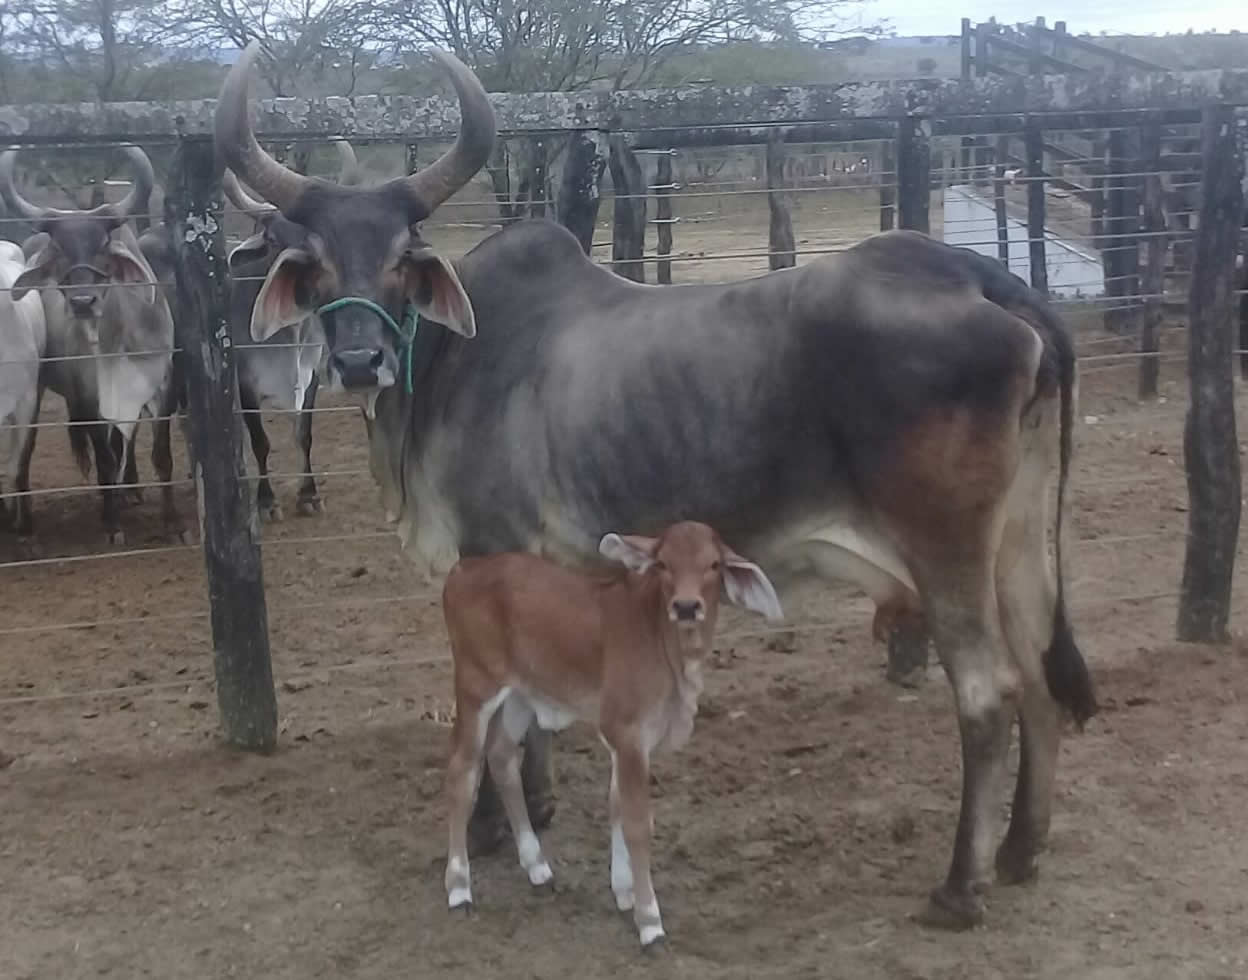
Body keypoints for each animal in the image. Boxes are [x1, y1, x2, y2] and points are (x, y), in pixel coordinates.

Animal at [0, 145, 183, 541]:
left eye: (102, 245)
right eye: (59, 249)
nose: (83, 302)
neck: (119, 335)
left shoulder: (162, 388)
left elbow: (161, 454)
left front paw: (172, 523)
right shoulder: (87, 397)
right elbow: (105, 458)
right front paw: (112, 524)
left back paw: (131, 491)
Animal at [444, 524, 783, 943]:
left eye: (714, 564)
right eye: (663, 563)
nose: (687, 606)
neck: (666, 645)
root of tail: (464, 571)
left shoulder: (633, 743)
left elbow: (617, 804)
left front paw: (625, 892)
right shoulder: (626, 732)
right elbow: (637, 822)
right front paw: (649, 920)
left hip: (522, 694)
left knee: (502, 757)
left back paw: (536, 866)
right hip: (476, 686)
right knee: (462, 771)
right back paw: (459, 888)